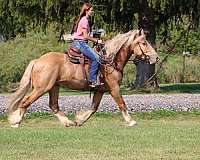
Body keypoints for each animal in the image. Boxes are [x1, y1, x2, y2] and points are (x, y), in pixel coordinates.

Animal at [7, 29, 158, 127]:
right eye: (143, 43)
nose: (156, 57)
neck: (110, 61)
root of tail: (38, 61)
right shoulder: (114, 88)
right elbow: (122, 104)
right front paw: (131, 121)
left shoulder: (100, 90)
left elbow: (93, 108)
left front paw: (79, 120)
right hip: (41, 88)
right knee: (25, 102)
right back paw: (16, 122)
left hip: (54, 87)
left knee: (53, 105)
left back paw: (68, 122)